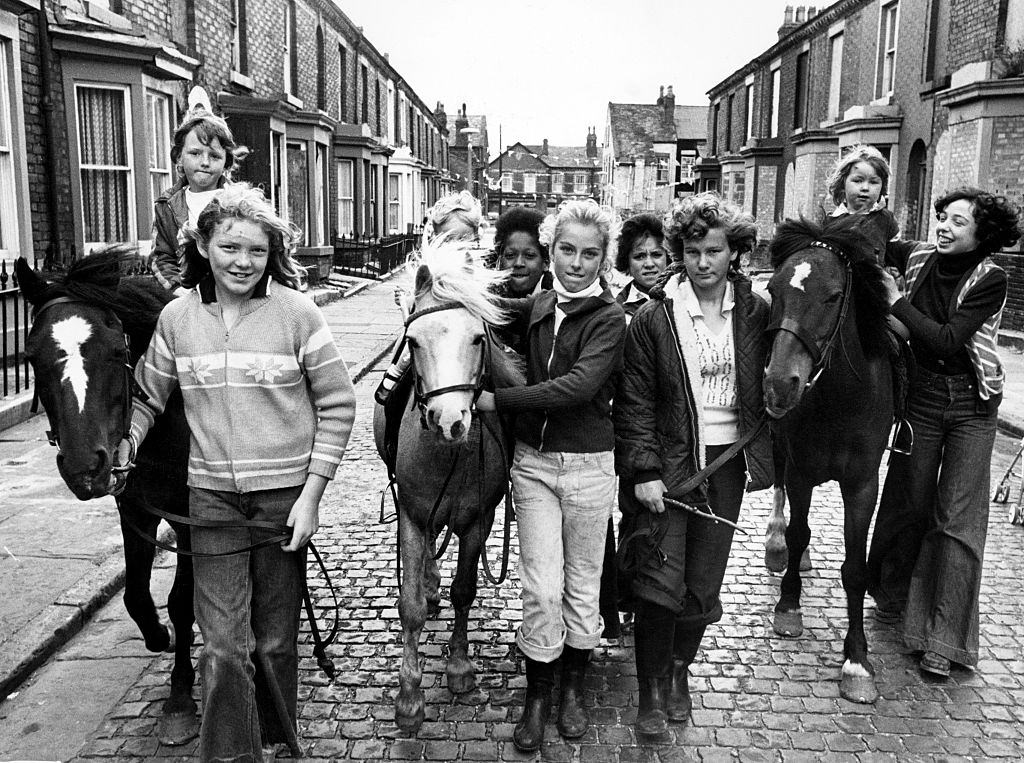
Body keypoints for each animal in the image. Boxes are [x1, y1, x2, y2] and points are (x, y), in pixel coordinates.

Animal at [16, 252, 197, 741]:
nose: (84, 466)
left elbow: (182, 600)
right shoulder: (134, 508)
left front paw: (180, 694)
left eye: (118, 351)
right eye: (31, 356)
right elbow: (135, 595)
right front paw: (158, 636)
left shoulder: (193, 515)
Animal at [765, 214, 892, 700]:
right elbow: (799, 530)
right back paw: (777, 544)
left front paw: (857, 659)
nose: (779, 384)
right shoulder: (801, 469)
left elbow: (856, 567)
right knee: (779, 492)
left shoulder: (863, 483)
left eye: (834, 296)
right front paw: (788, 606)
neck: (841, 399)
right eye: (773, 289)